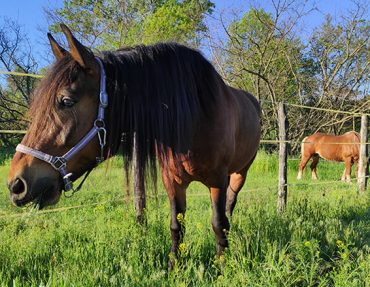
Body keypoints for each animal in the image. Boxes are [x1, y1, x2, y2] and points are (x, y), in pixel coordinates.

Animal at [5, 24, 260, 268]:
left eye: (66, 101)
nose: (16, 184)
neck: (197, 115)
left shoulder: (218, 181)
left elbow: (218, 224)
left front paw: (222, 268)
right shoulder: (173, 181)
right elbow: (176, 225)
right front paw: (174, 266)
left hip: (240, 174)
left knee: (230, 204)